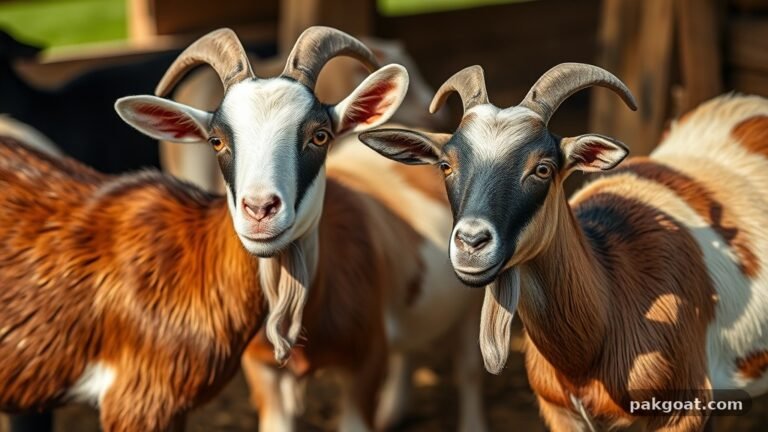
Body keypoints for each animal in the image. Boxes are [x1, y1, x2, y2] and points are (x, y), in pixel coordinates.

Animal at [117, 27, 485, 431]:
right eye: (216, 141)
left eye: (320, 135)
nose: (260, 209)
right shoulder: (263, 370)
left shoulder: (364, 363)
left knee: (468, 369)